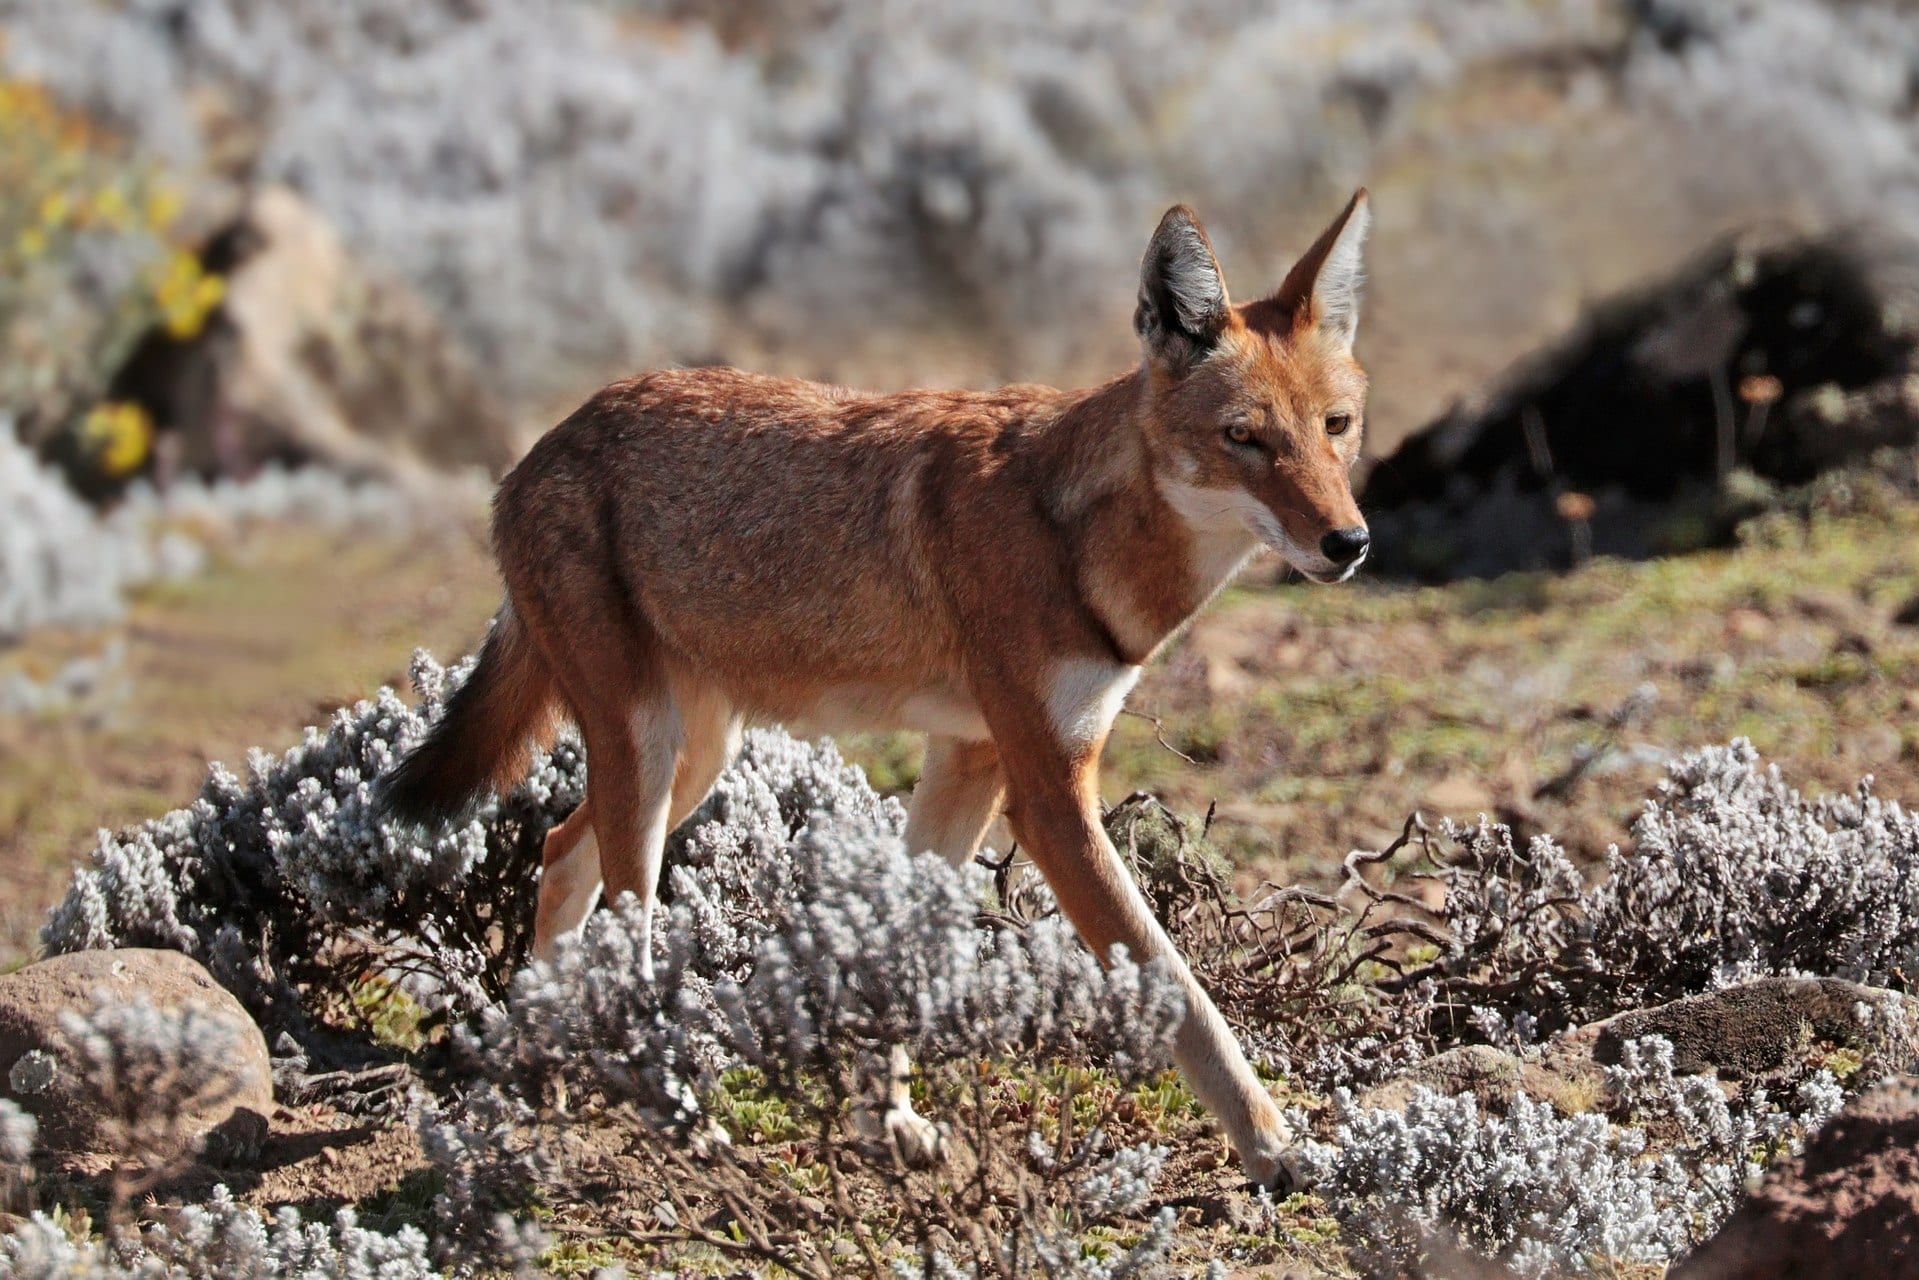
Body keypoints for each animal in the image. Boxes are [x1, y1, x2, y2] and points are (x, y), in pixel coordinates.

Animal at [374, 192, 1374, 1189]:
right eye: (1243, 437)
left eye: (1336, 427)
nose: (1349, 543)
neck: (1077, 536)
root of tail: (538, 449)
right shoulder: (1049, 796)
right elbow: (1179, 988)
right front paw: (1275, 1144)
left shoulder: (972, 761)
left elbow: (900, 947)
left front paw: (885, 1121)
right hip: (652, 757)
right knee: (625, 925)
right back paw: (676, 1114)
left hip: (693, 760)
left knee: (557, 852)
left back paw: (542, 1065)